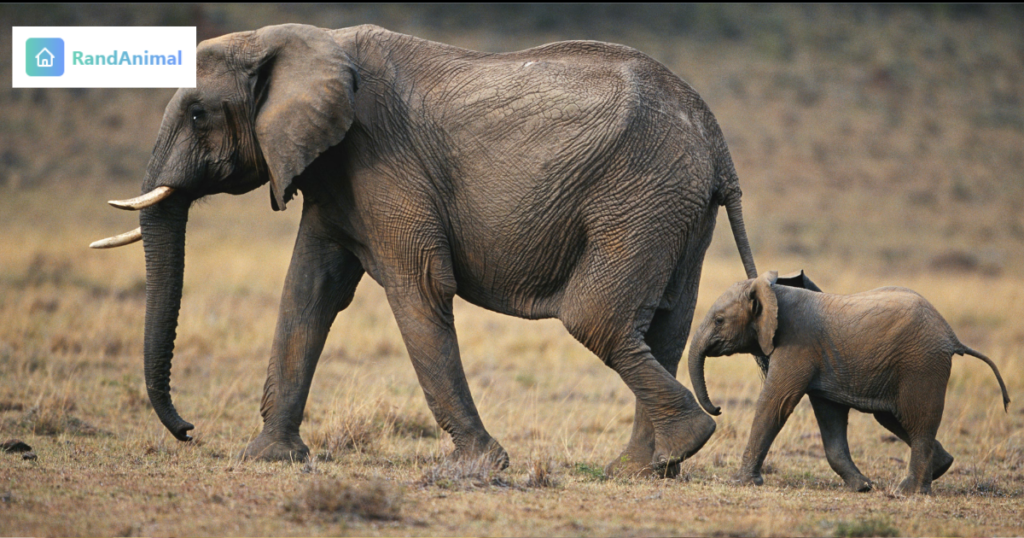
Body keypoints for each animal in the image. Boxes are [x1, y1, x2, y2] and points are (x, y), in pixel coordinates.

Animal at [90, 23, 760, 476]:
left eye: (198, 114)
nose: (187, 430)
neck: (289, 39)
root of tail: (718, 140)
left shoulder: (381, 159)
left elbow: (419, 288)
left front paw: (478, 469)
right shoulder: (334, 176)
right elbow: (308, 292)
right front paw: (268, 458)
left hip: (641, 194)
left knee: (596, 318)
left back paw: (681, 443)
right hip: (676, 208)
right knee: (664, 326)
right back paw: (645, 467)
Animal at [687, 270, 1011, 494]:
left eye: (718, 320)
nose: (718, 409)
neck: (772, 291)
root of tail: (951, 335)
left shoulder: (797, 345)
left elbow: (776, 402)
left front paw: (740, 482)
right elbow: (829, 416)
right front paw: (862, 487)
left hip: (921, 364)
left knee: (917, 420)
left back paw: (908, 491)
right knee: (895, 418)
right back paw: (941, 467)